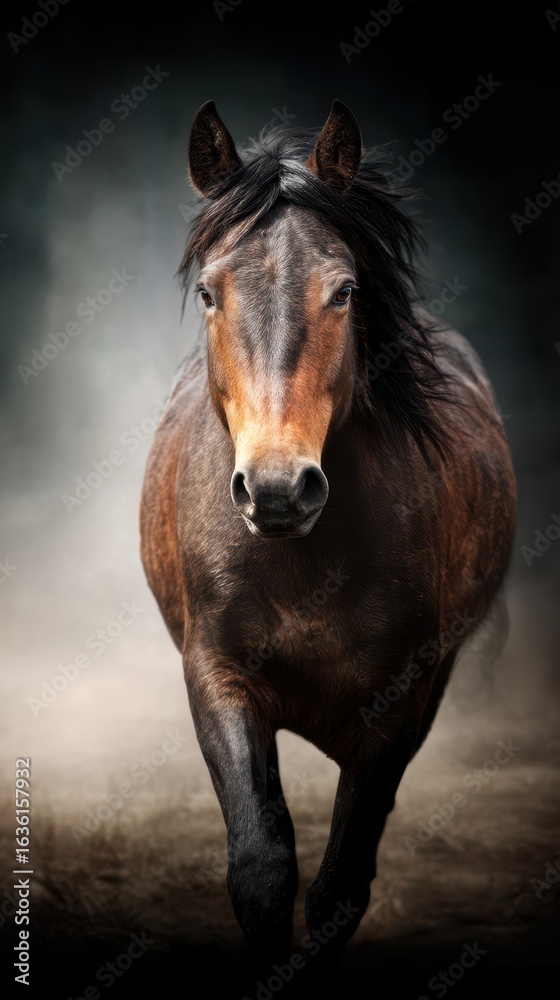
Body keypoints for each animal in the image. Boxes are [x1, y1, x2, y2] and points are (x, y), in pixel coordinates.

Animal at [140, 99, 516, 970]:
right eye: (209, 292)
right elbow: (262, 866)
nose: (278, 488)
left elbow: (342, 884)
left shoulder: (401, 698)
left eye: (344, 291)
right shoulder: (216, 675)